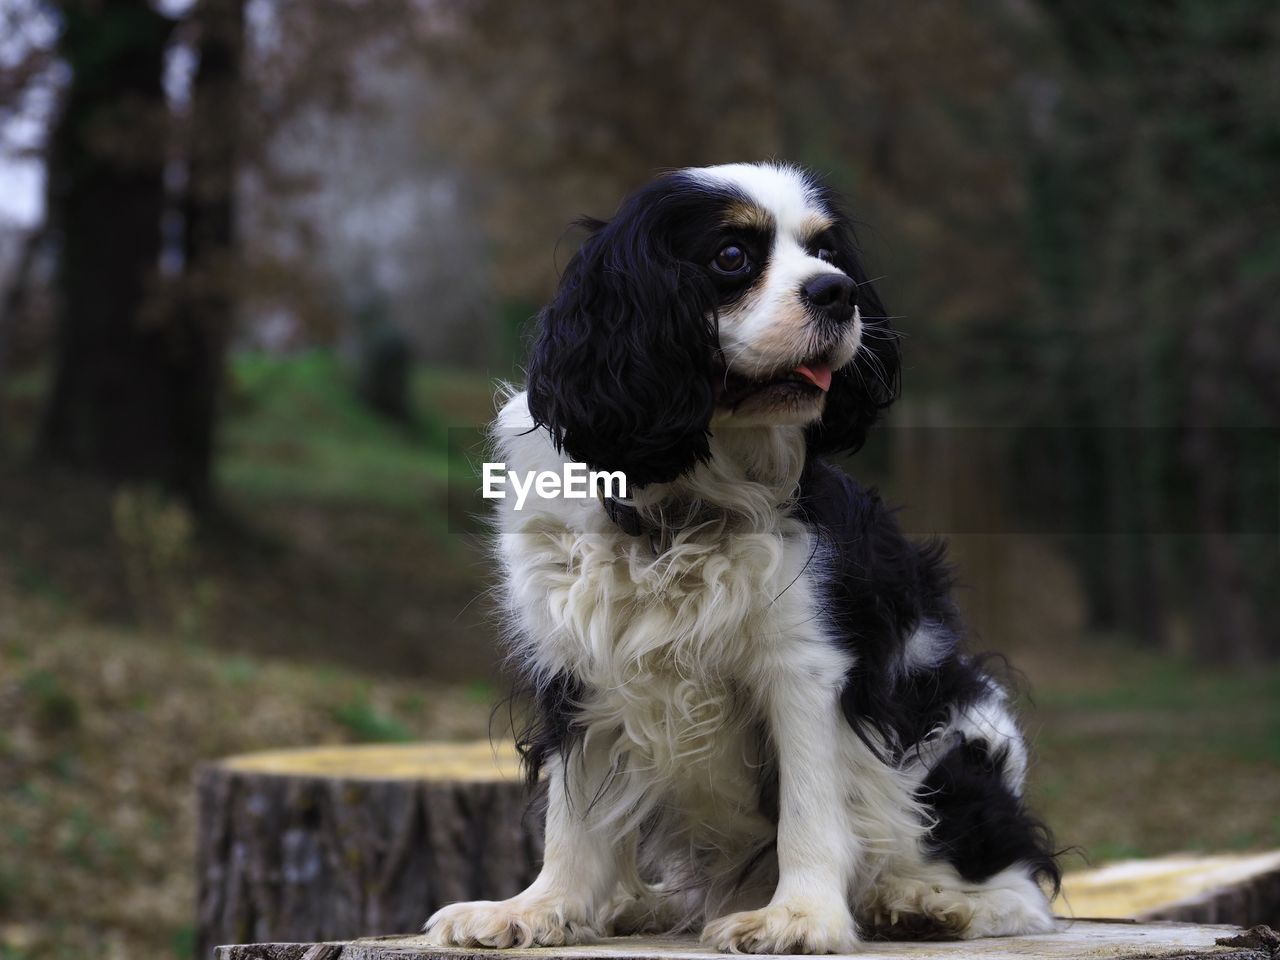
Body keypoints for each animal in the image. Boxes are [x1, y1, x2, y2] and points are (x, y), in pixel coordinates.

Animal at [424, 161, 1054, 952]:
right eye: (731, 256)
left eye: (828, 254)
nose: (836, 292)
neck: (683, 499)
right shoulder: (577, 664)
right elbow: (572, 816)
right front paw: (539, 909)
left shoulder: (805, 667)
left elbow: (810, 807)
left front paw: (800, 917)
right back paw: (641, 904)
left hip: (955, 742)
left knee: (1020, 889)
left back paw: (927, 902)